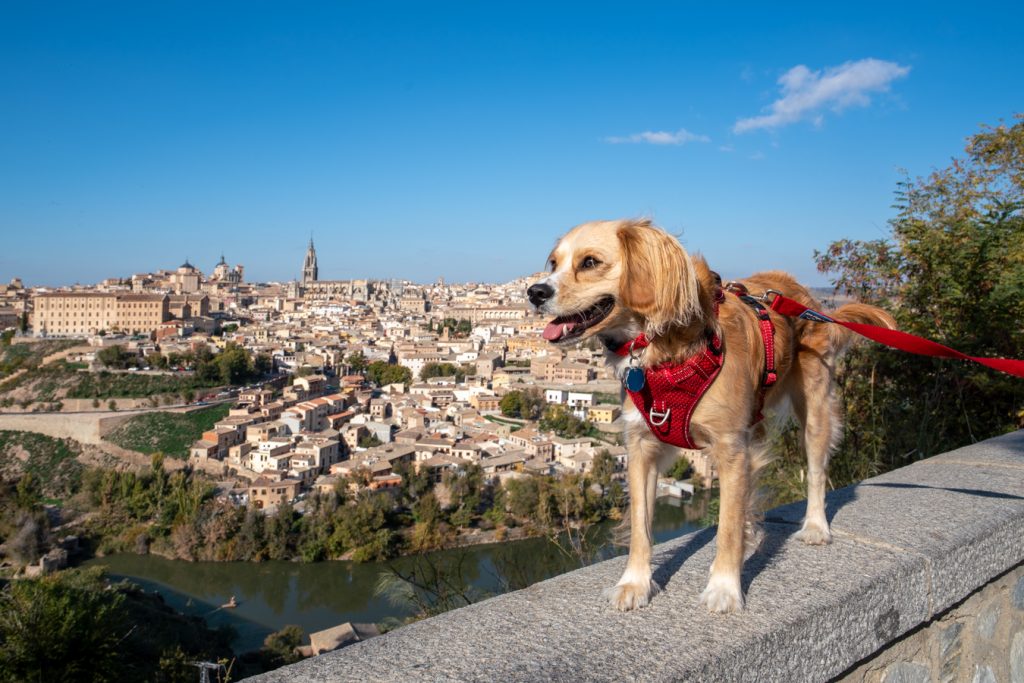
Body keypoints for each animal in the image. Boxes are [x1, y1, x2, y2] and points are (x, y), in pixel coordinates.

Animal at [528, 219, 897, 614]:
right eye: (554, 263)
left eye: (590, 262)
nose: (534, 291)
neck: (663, 350)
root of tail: (806, 298)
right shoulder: (641, 446)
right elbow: (642, 525)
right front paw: (635, 583)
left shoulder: (732, 449)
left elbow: (727, 527)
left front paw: (725, 588)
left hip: (814, 409)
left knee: (815, 470)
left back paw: (815, 526)